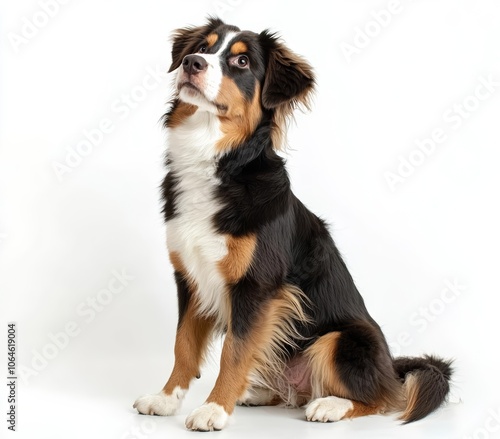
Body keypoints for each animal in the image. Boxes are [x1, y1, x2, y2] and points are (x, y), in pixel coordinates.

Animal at [133, 18, 454, 434]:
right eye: (203, 48)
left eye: (241, 61)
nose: (191, 63)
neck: (220, 162)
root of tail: (392, 368)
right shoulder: (190, 277)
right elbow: (184, 345)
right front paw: (167, 398)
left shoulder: (258, 285)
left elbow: (234, 351)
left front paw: (214, 409)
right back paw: (258, 393)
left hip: (341, 338)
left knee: (382, 398)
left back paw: (329, 404)